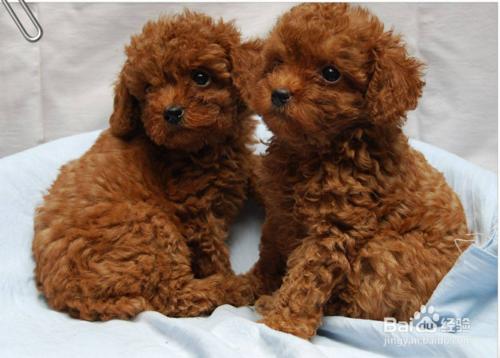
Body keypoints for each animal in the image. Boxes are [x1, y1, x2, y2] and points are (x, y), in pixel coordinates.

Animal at [33, 12, 262, 322]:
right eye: (149, 89)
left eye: (201, 77)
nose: (171, 112)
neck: (203, 147)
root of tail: (71, 296)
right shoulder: (195, 210)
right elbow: (213, 252)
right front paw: (225, 276)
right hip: (150, 227)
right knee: (173, 296)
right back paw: (241, 286)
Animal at [244, 2, 470, 338]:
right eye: (278, 62)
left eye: (330, 73)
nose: (279, 93)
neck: (315, 152)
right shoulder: (279, 216)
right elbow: (270, 253)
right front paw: (252, 285)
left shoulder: (334, 228)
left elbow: (306, 279)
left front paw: (284, 322)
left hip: (383, 251)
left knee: (362, 309)